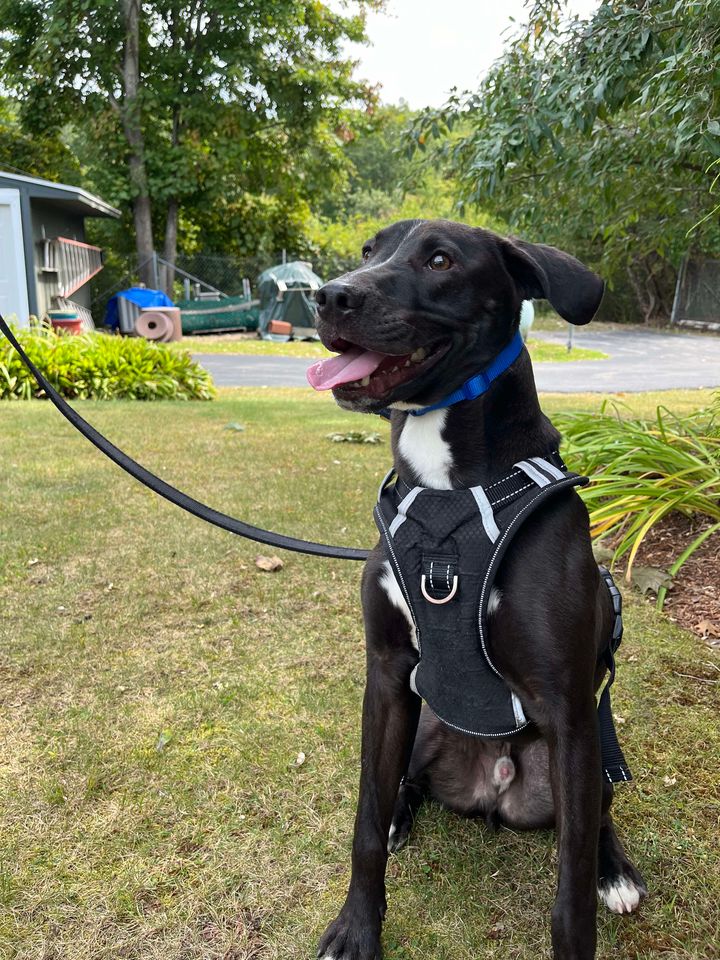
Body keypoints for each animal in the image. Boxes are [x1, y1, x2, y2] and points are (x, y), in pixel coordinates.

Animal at [306, 219, 644, 960]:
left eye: (440, 260)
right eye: (370, 251)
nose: (329, 296)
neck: (448, 493)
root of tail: (495, 788)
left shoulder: (568, 707)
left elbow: (570, 894)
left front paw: (592, 891)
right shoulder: (387, 674)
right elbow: (364, 821)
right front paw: (356, 928)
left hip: (586, 756)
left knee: (595, 818)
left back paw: (615, 869)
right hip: (425, 722)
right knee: (402, 783)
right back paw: (403, 814)